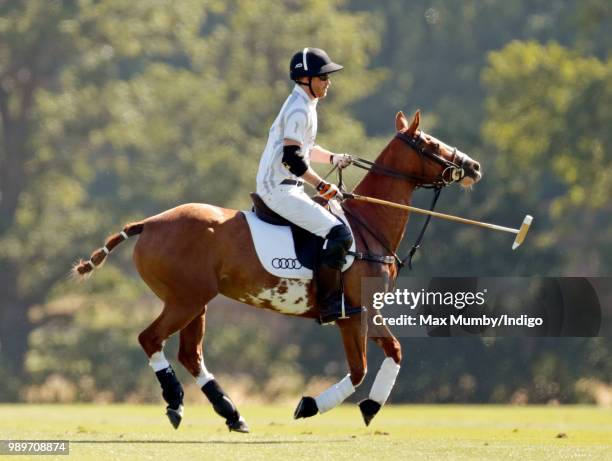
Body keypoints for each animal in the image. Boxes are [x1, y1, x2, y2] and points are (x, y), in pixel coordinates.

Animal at [73, 110, 482, 432]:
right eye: (430, 142)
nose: (474, 166)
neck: (369, 223)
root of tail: (148, 224)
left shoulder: (366, 309)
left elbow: (394, 351)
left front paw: (369, 406)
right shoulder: (351, 313)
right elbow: (359, 370)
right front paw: (310, 405)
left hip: (195, 302)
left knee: (190, 354)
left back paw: (231, 413)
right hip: (184, 300)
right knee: (151, 339)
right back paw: (176, 402)